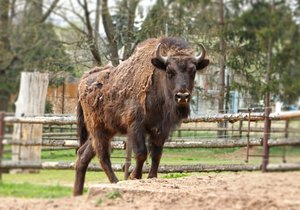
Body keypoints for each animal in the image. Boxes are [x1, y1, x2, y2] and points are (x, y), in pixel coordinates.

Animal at [73, 36, 209, 195]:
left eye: (193, 71)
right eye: (169, 71)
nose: (182, 96)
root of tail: (83, 81)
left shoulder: (161, 129)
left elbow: (156, 154)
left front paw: (152, 176)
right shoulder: (136, 126)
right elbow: (141, 153)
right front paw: (134, 176)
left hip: (107, 130)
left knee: (83, 155)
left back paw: (77, 193)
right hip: (97, 129)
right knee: (103, 157)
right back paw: (116, 182)